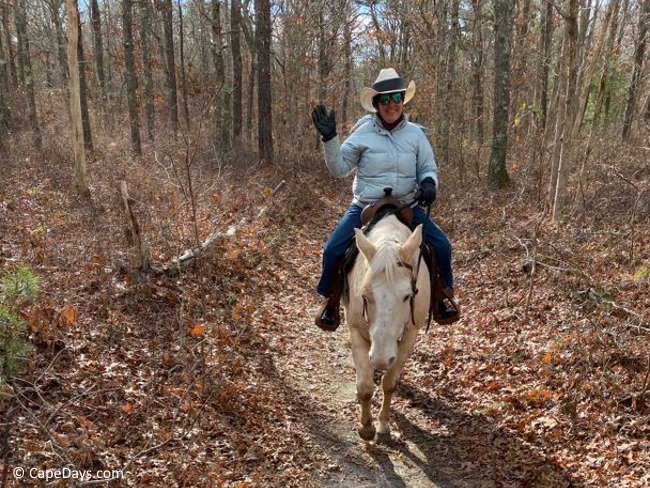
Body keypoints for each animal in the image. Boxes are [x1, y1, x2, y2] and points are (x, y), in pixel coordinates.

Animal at [343, 214, 430, 441]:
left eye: (408, 296)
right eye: (364, 296)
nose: (381, 359)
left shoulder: (410, 335)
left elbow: (389, 382)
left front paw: (382, 424)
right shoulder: (356, 331)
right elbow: (365, 387)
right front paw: (366, 427)